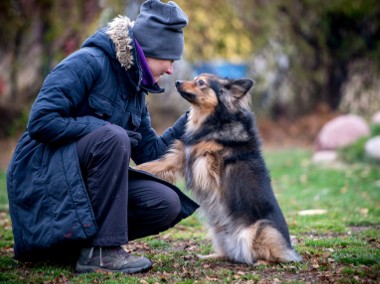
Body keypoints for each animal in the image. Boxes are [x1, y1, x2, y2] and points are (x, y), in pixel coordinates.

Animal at [135, 73, 302, 264]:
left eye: (201, 83)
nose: (177, 82)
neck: (213, 120)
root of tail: (289, 249)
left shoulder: (206, 163)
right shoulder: (179, 156)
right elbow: (151, 166)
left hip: (262, 229)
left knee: (271, 256)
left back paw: (260, 262)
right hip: (218, 232)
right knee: (228, 253)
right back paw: (209, 256)